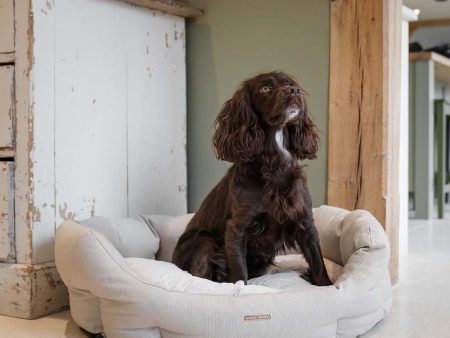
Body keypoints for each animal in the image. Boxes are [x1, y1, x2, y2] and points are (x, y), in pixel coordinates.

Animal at [174, 70, 332, 286]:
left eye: (290, 83)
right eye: (265, 87)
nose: (294, 91)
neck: (274, 163)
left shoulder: (305, 221)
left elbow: (318, 264)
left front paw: (329, 286)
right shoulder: (237, 228)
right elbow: (240, 272)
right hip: (204, 241)